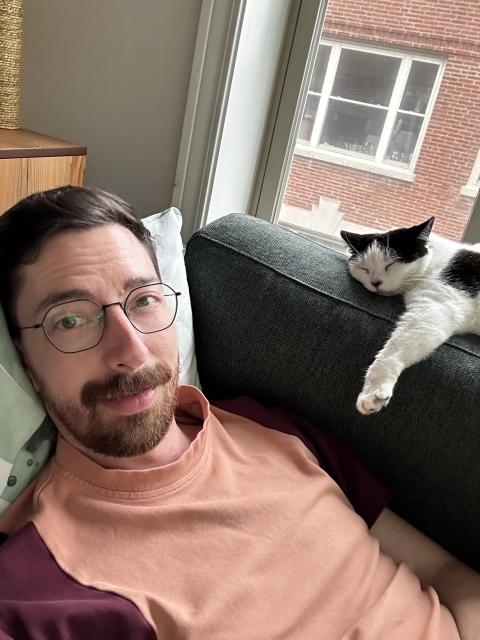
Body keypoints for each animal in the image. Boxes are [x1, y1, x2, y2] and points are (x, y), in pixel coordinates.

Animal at [340, 220, 478, 418]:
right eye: (365, 269)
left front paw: (373, 391)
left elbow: (393, 350)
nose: (375, 282)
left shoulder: (435, 306)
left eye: (390, 265)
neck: (434, 261)